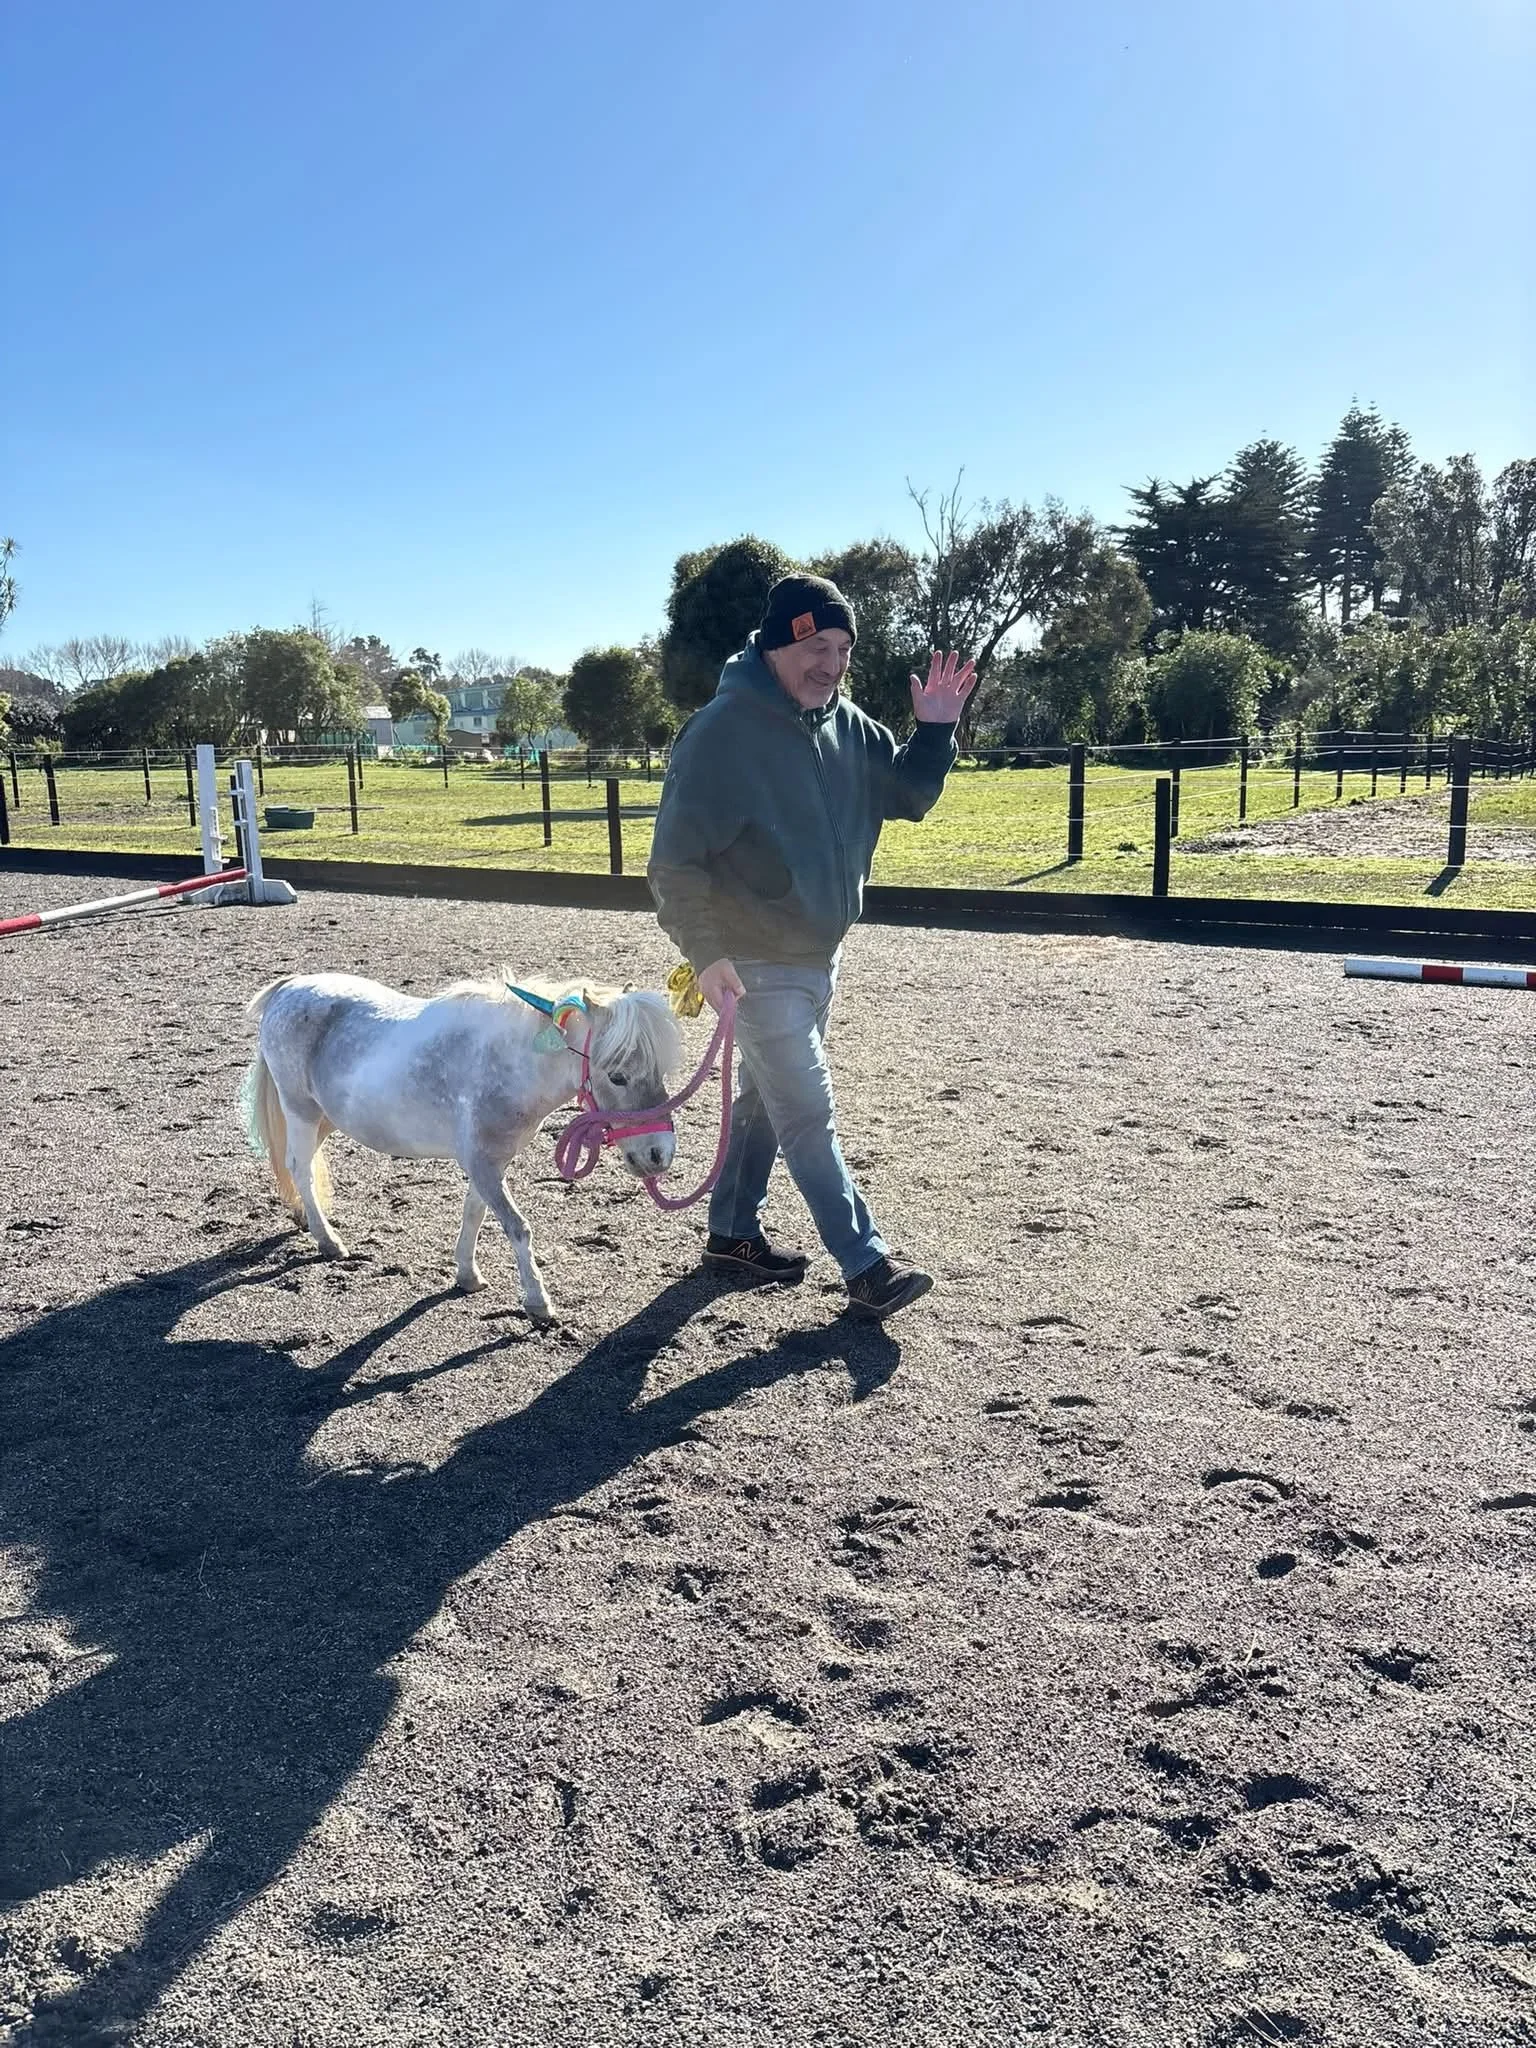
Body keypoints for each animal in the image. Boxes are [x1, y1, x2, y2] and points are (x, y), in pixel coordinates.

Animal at [241, 971, 682, 1322]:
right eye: (618, 1075)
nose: (659, 1154)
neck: (508, 1066)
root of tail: (287, 988)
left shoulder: (489, 1162)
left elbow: (475, 1214)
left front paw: (467, 1275)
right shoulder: (482, 1163)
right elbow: (518, 1228)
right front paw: (537, 1301)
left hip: (324, 1119)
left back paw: (305, 1217)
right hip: (300, 1110)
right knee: (299, 1166)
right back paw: (328, 1240)